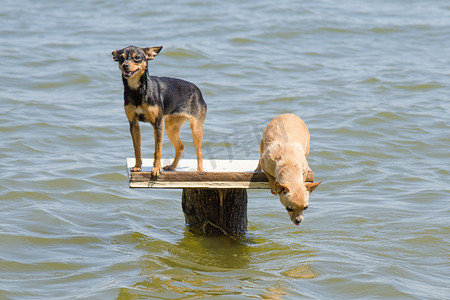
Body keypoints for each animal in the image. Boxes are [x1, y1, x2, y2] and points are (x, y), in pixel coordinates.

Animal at [111, 44, 207, 176]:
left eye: (137, 58)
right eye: (121, 58)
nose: (125, 65)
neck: (137, 90)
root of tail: (198, 91)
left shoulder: (157, 125)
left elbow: (157, 150)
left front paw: (156, 169)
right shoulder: (134, 124)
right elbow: (137, 149)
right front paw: (137, 167)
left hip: (195, 128)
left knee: (199, 150)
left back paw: (200, 170)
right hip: (171, 127)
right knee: (180, 147)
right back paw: (172, 166)